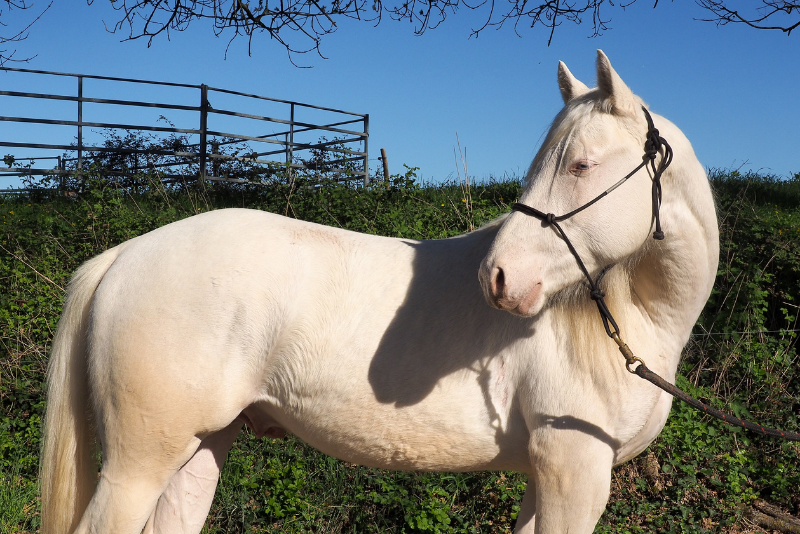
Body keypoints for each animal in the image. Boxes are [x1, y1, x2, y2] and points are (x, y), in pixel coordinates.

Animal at [40, 50, 719, 534]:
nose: (498, 278)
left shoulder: (546, 478)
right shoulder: (572, 475)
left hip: (201, 447)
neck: (634, 319)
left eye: (580, 164)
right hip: (137, 465)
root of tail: (125, 254)